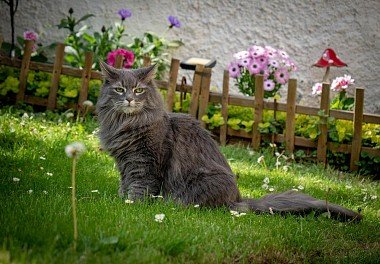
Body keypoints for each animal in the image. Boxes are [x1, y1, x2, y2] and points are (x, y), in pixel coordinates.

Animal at [95, 63, 362, 222]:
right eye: (119, 89)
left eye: (139, 90)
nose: (129, 99)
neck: (126, 125)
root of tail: (239, 200)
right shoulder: (125, 163)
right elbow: (124, 184)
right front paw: (121, 200)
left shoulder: (146, 163)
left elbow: (141, 187)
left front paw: (132, 206)